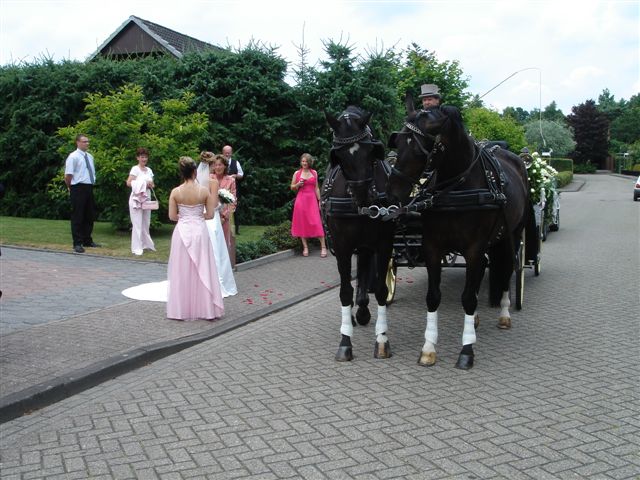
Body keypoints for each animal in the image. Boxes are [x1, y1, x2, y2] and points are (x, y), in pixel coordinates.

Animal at [324, 105, 396, 360]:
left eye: (370, 152)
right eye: (339, 156)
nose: (363, 194)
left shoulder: (384, 243)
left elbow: (382, 290)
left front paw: (382, 340)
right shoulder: (342, 246)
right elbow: (345, 291)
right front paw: (345, 341)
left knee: (365, 269)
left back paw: (363, 308)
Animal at [384, 95, 536, 370]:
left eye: (419, 149)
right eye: (397, 143)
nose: (391, 194)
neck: (458, 187)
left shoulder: (474, 247)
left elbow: (467, 298)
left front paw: (466, 350)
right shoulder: (433, 247)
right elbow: (434, 296)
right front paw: (428, 349)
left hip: (511, 236)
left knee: (507, 268)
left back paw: (505, 314)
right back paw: (474, 320)